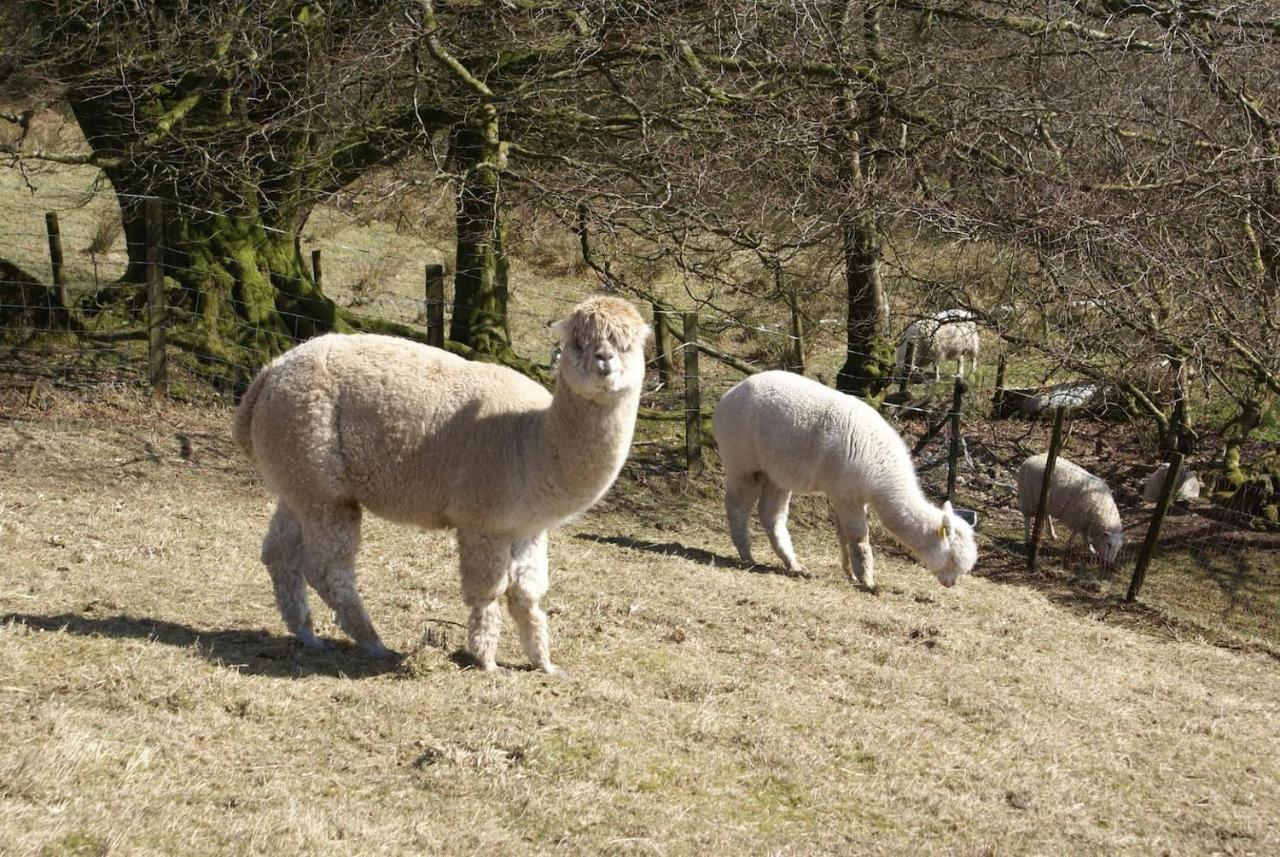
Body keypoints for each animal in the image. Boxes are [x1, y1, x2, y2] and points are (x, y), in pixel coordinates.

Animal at [231, 299, 650, 675]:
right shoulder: (483, 521)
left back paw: (306, 634)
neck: (531, 441)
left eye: (627, 344)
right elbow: (488, 593)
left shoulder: (527, 527)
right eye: (579, 342)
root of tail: (269, 373)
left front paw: (544, 664)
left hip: (297, 480)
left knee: (279, 552)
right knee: (328, 568)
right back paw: (373, 642)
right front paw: (487, 662)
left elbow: (528, 596)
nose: (604, 359)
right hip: (323, 482)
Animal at [711, 368, 977, 590]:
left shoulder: (846, 493)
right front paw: (868, 582)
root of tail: (728, 395)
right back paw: (747, 556)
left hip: (777, 473)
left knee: (771, 515)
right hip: (744, 460)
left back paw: (794, 566)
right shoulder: (847, 493)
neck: (882, 468)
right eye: (952, 558)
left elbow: (843, 535)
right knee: (737, 506)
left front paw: (850, 573)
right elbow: (859, 537)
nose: (951, 583)